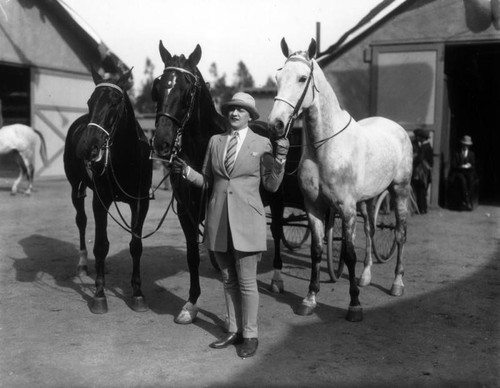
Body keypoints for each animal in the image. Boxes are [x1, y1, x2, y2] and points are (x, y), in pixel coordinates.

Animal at [65, 68, 154, 314]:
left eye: (115, 102)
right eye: (90, 102)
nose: (87, 146)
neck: (127, 158)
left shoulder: (140, 203)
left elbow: (136, 245)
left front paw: (138, 293)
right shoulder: (100, 201)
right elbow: (100, 245)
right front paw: (99, 294)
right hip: (76, 189)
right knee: (82, 221)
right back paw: (83, 265)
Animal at [268, 39, 412, 322]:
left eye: (302, 78)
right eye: (278, 77)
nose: (275, 124)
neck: (325, 147)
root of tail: (398, 128)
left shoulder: (345, 208)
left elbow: (348, 252)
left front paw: (354, 304)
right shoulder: (314, 207)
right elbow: (316, 250)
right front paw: (309, 298)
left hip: (398, 190)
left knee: (399, 234)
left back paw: (397, 284)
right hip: (367, 200)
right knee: (370, 230)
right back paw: (366, 277)